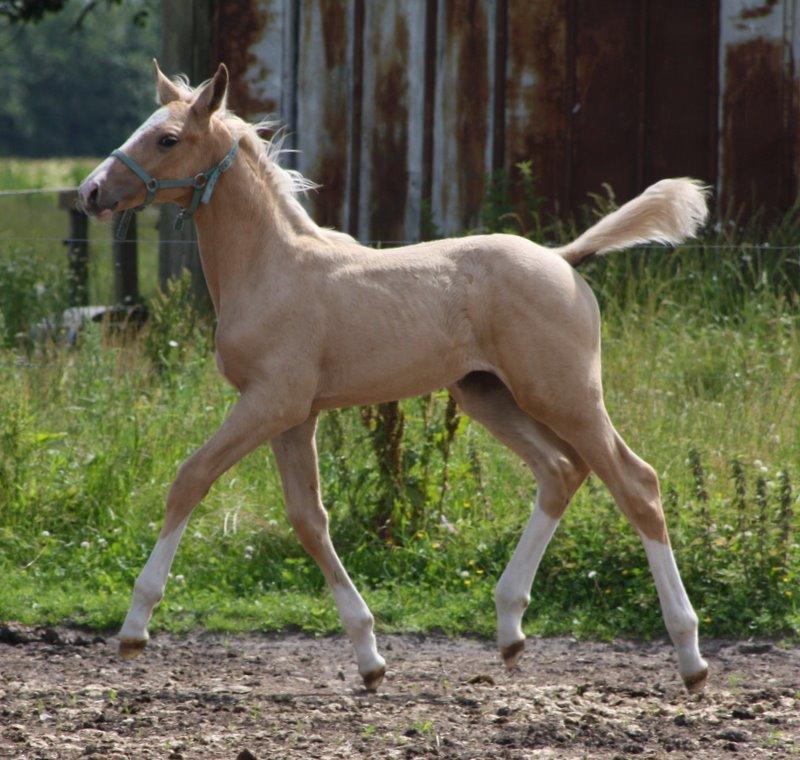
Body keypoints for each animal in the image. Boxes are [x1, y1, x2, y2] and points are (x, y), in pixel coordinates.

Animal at [79, 63, 708, 696]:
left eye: (167, 139)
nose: (91, 192)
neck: (272, 269)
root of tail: (563, 258)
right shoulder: (294, 416)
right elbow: (309, 520)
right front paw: (369, 657)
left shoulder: (270, 403)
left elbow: (191, 478)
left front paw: (134, 627)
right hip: (489, 396)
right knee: (561, 471)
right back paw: (510, 629)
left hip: (565, 396)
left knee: (637, 484)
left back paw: (690, 657)